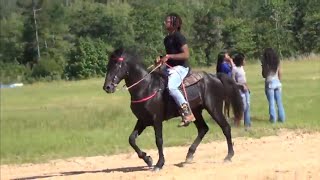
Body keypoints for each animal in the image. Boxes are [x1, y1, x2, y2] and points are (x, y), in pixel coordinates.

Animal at [102, 48, 242, 172]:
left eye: (117, 65)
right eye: (108, 65)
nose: (107, 87)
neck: (146, 87)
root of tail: (215, 76)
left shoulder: (156, 120)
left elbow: (159, 141)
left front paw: (159, 164)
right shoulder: (142, 120)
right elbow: (131, 139)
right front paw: (148, 159)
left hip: (214, 108)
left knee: (225, 128)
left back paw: (229, 156)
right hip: (196, 111)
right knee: (203, 129)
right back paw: (189, 155)